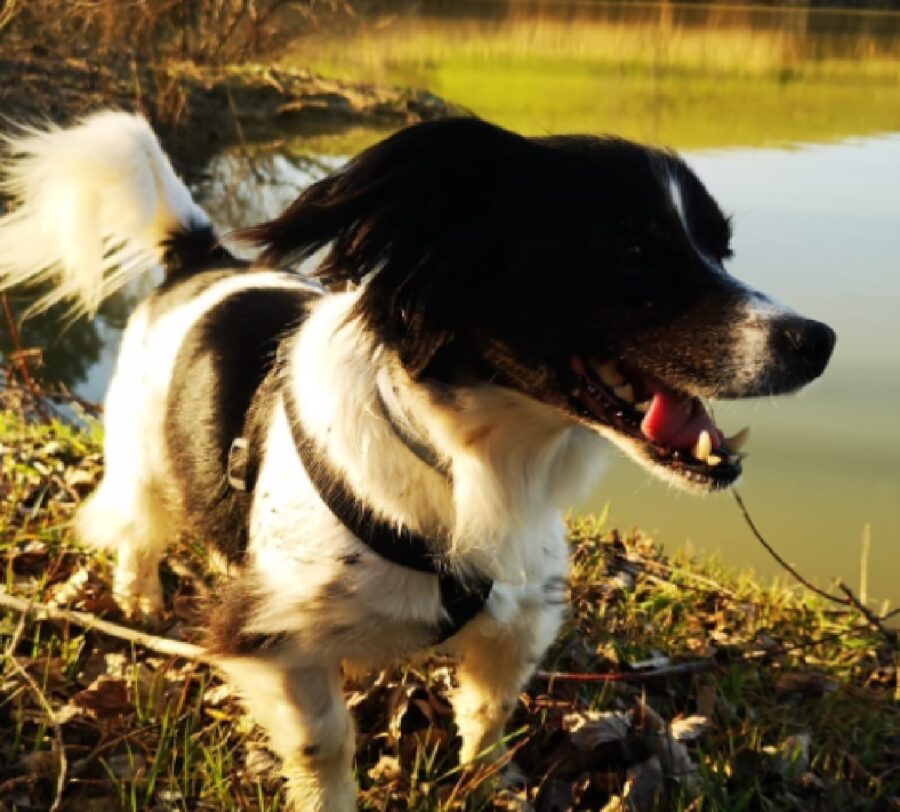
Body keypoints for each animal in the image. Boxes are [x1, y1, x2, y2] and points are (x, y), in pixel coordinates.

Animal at [0, 111, 836, 808]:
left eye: (721, 248)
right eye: (630, 249)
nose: (818, 340)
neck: (471, 463)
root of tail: (200, 258)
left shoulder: (517, 617)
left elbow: (487, 716)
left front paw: (486, 784)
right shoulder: (270, 635)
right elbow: (326, 745)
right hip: (142, 456)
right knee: (136, 526)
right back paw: (138, 596)